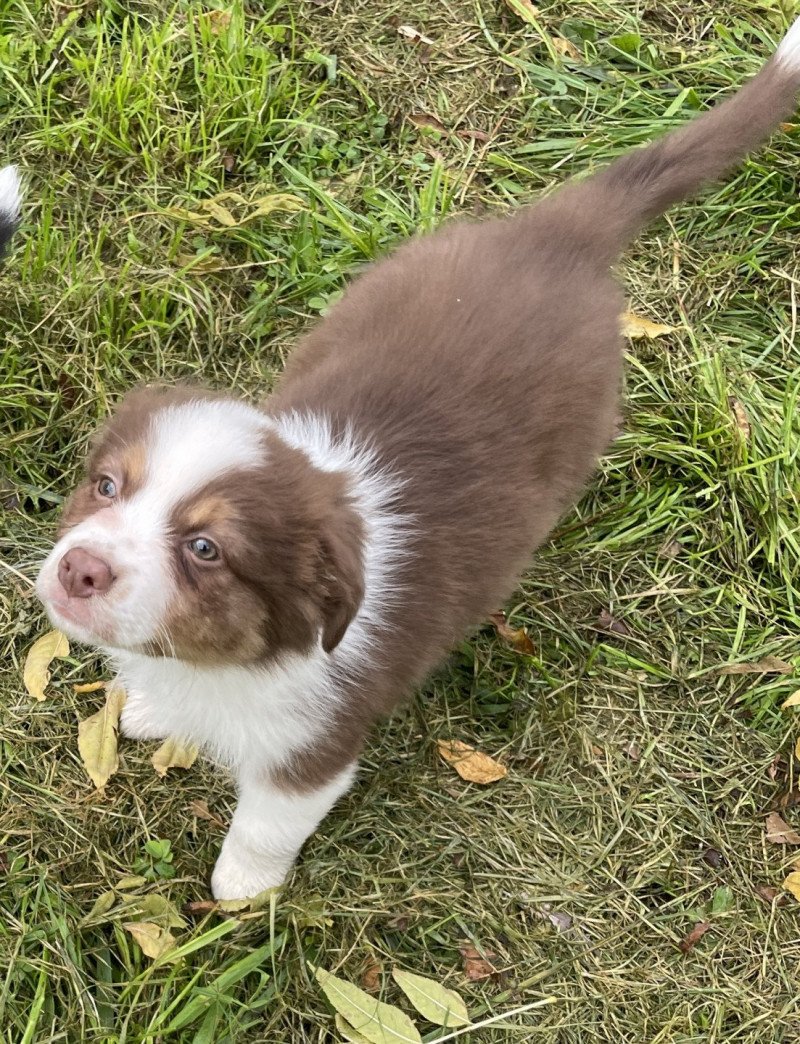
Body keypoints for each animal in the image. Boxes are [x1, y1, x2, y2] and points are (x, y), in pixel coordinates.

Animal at [34, 20, 800, 897]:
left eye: (205, 549)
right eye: (106, 485)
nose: (79, 570)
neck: (233, 663)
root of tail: (559, 238)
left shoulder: (316, 747)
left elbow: (266, 824)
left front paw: (242, 894)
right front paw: (154, 707)